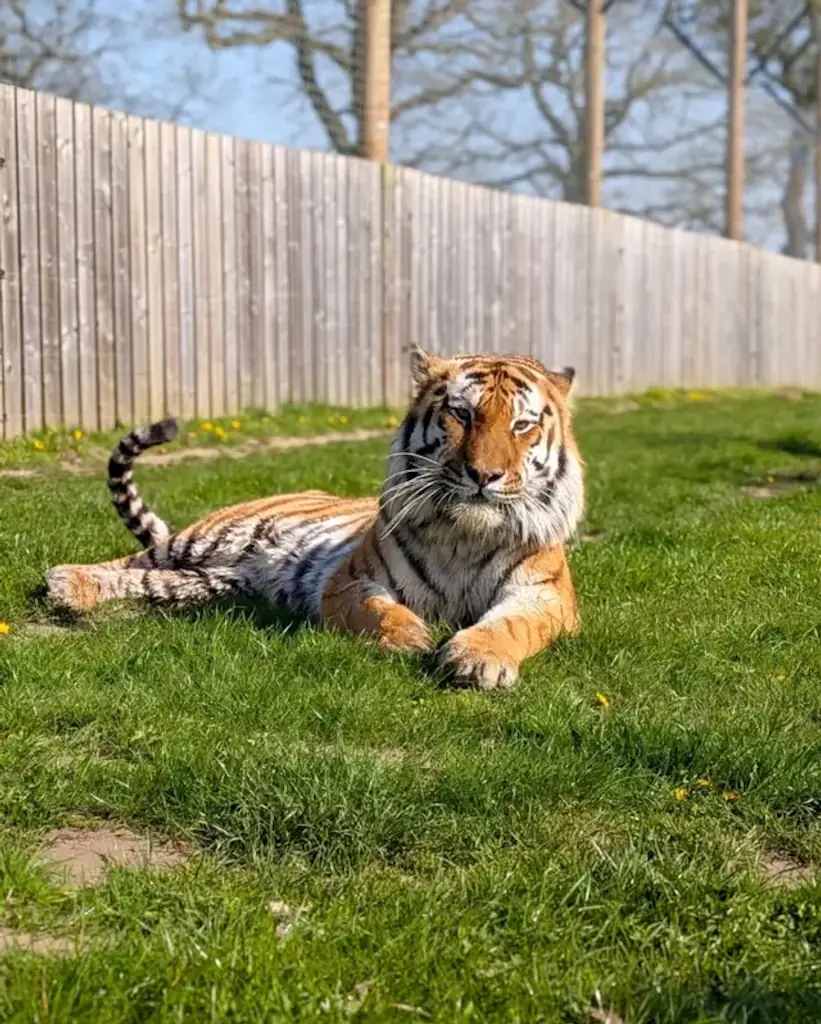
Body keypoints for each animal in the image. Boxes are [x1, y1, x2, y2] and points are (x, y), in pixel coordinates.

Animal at [46, 349, 585, 690]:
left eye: (522, 424)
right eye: (462, 414)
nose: (484, 475)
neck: (465, 535)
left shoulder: (544, 596)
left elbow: (511, 625)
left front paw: (478, 658)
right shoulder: (350, 581)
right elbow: (379, 611)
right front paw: (411, 637)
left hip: (210, 581)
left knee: (149, 580)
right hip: (209, 538)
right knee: (132, 560)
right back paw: (65, 581)